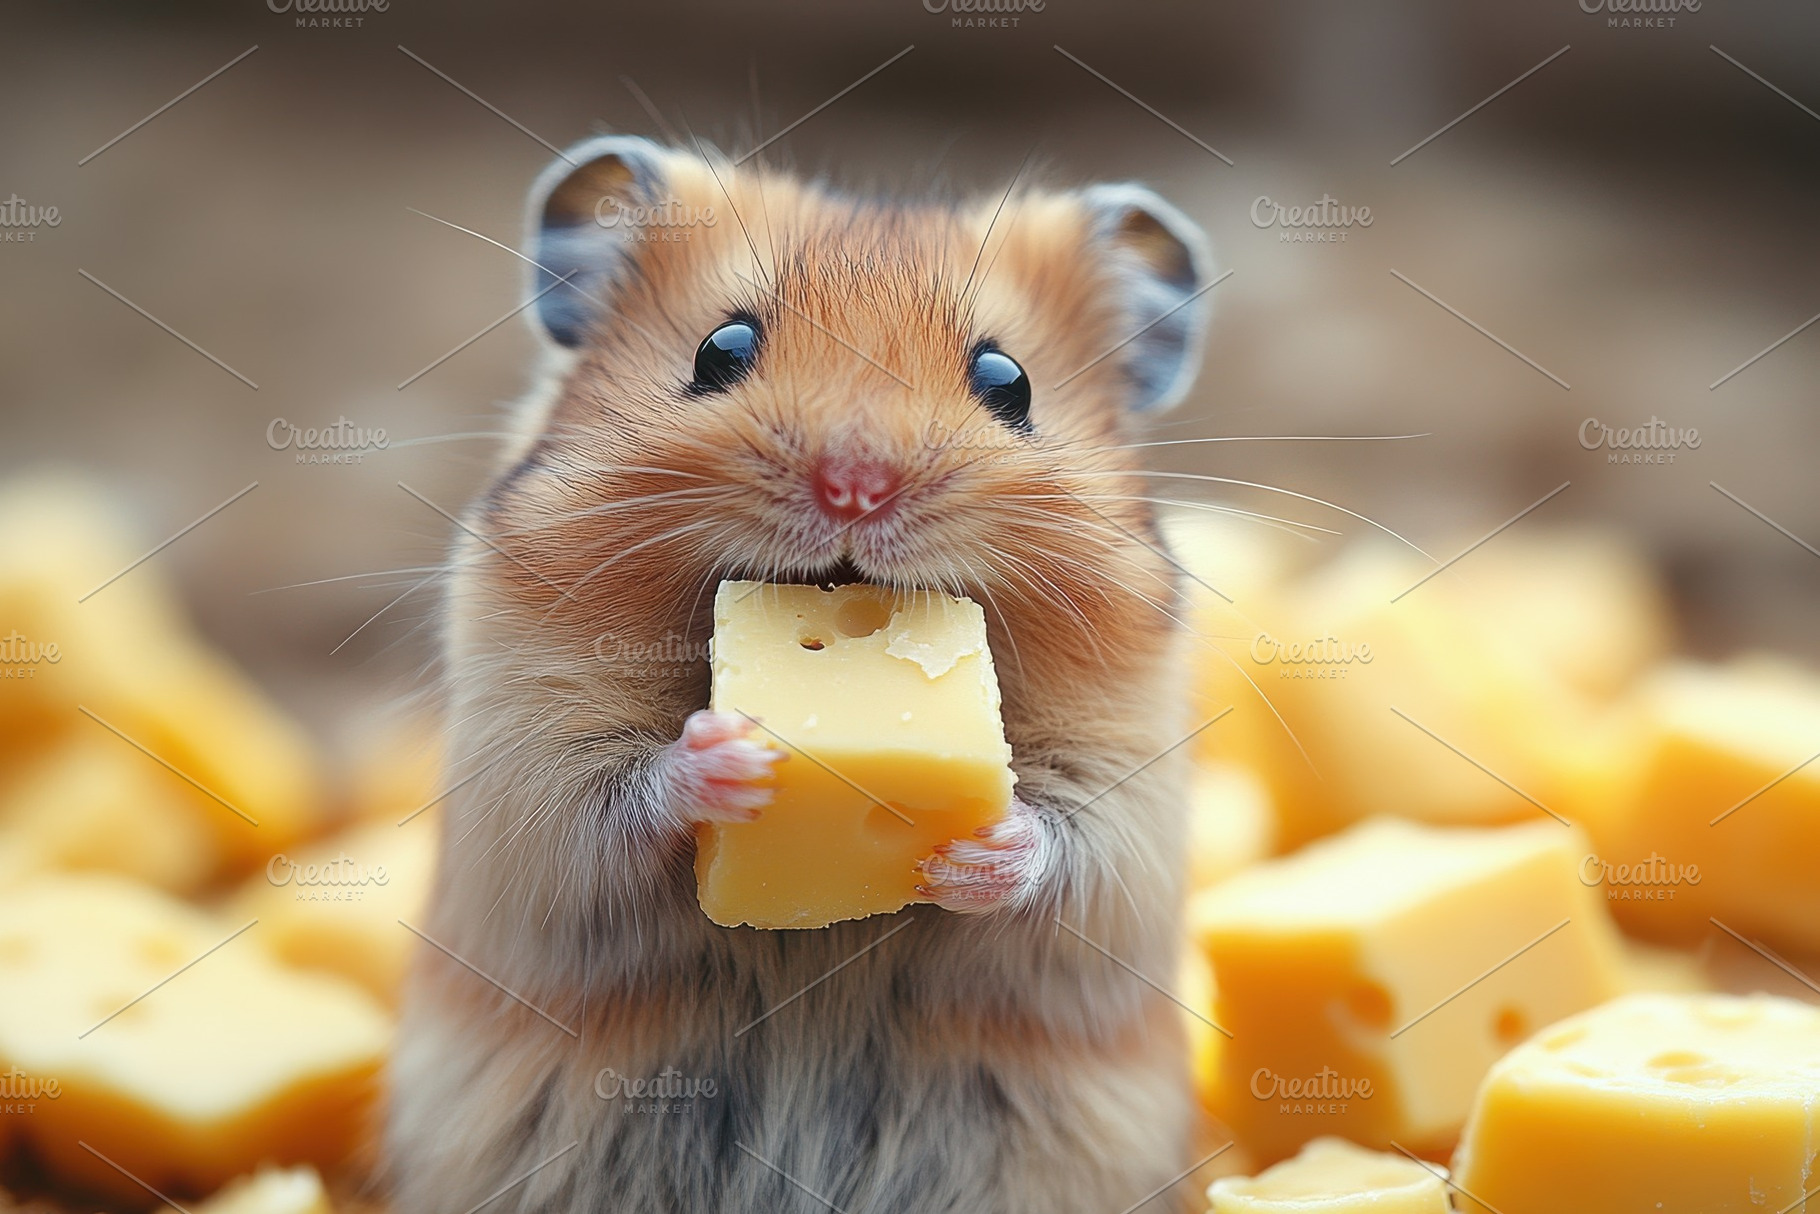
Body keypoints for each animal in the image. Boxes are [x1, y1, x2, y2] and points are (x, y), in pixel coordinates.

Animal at [385, 134, 1216, 1214]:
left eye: (1009, 381)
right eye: (720, 349)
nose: (855, 488)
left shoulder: (1129, 788)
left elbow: (1067, 853)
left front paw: (977, 850)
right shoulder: (528, 761)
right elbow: (605, 808)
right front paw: (730, 758)